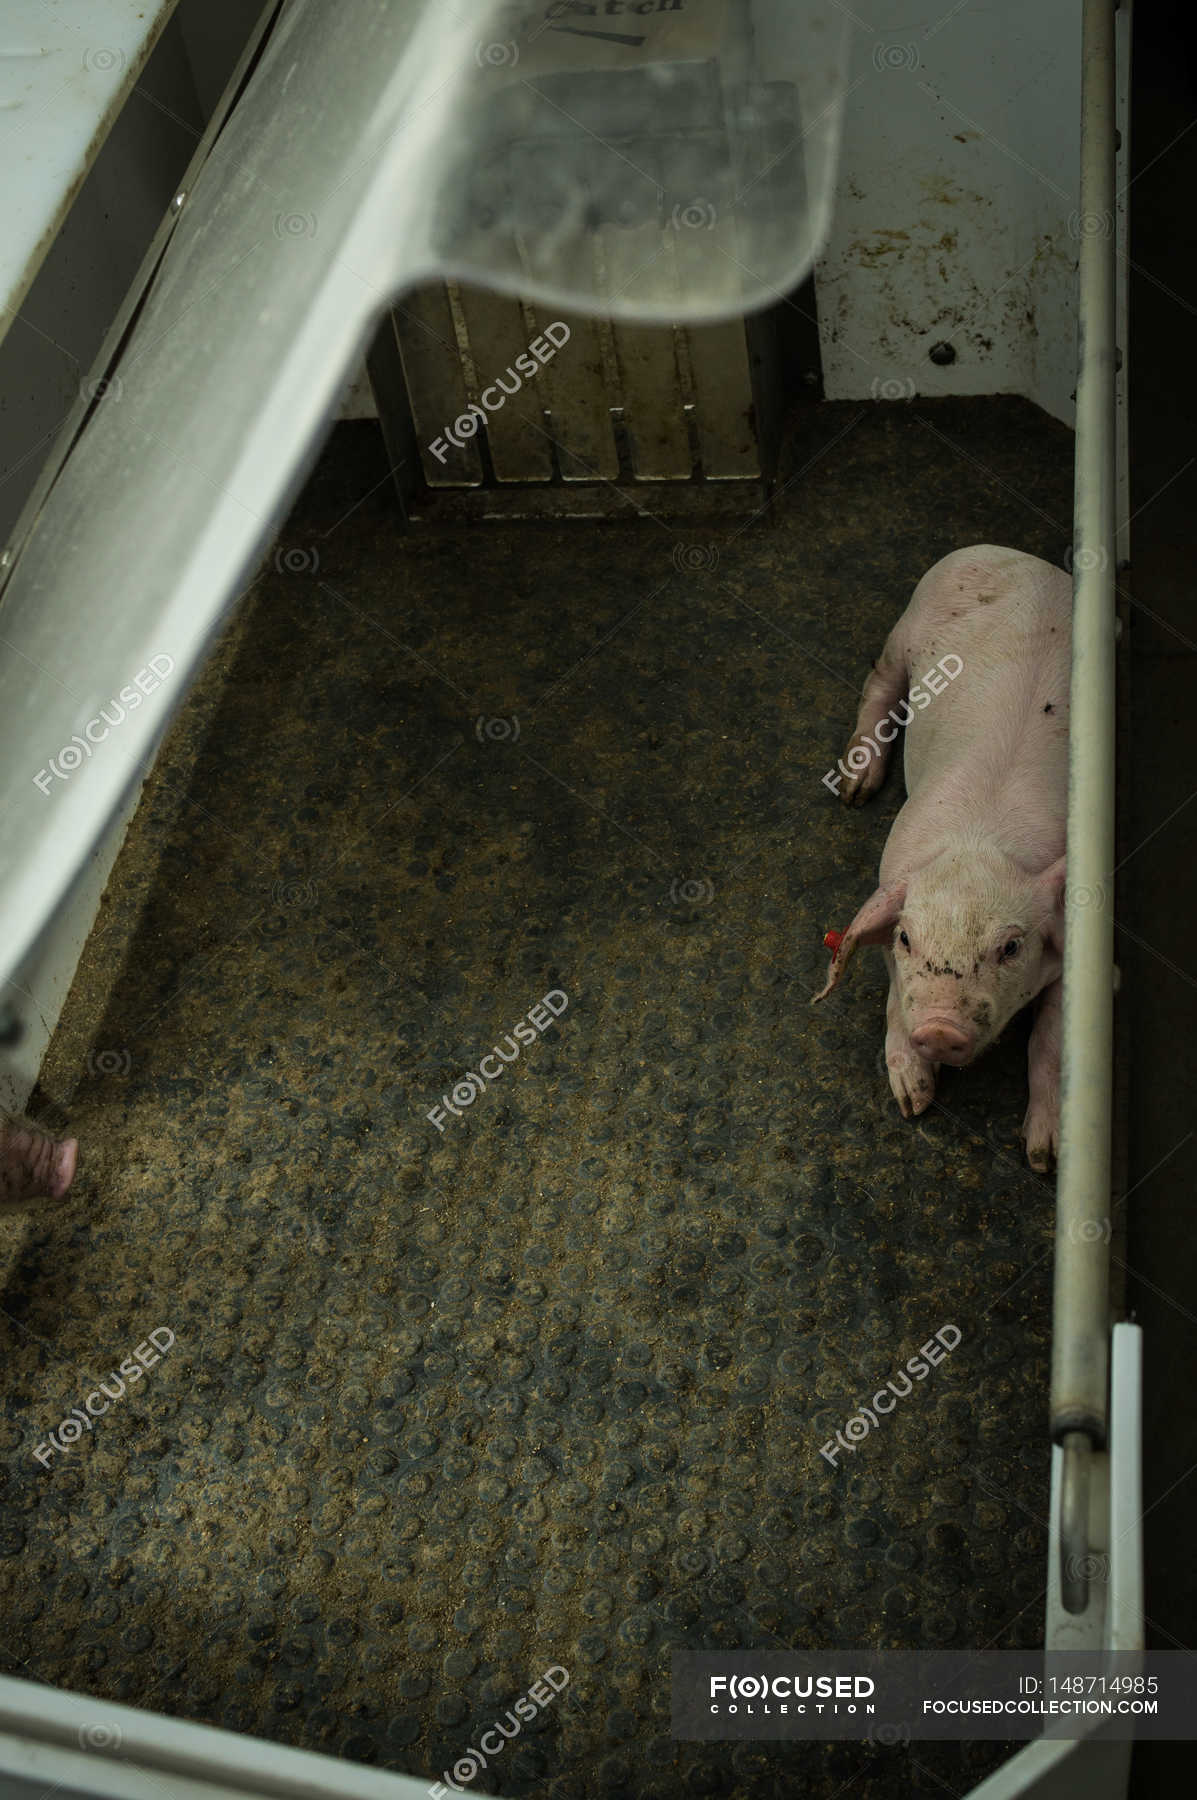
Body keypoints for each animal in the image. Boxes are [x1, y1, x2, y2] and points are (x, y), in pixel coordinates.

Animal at [806, 540, 1065, 1173]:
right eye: (906, 938)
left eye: (1011, 947)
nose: (943, 1030)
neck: (978, 844)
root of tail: (1024, 559)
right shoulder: (892, 882)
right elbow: (894, 995)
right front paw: (913, 1104)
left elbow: (1051, 1040)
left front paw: (1043, 1158)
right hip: (907, 628)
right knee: (879, 682)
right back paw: (854, 788)